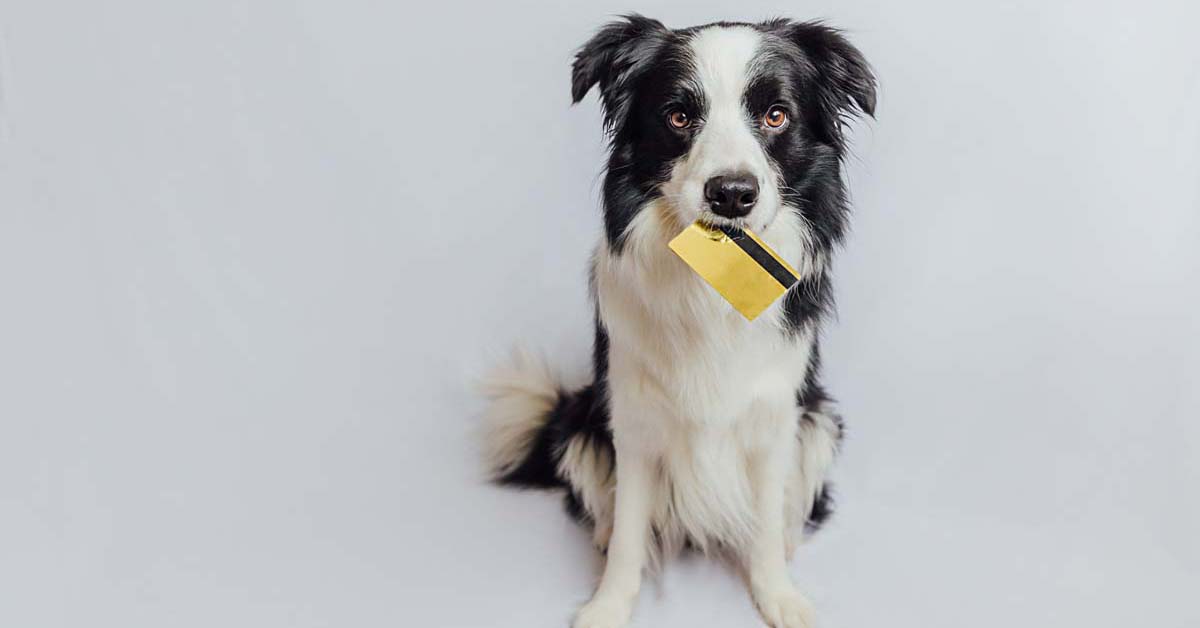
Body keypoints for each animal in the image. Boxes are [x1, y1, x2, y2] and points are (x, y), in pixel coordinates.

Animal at [482, 14, 878, 628]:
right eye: (679, 116)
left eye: (776, 115)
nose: (732, 194)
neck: (713, 285)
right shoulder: (633, 417)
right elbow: (629, 527)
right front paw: (608, 604)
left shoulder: (777, 415)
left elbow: (765, 520)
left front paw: (778, 596)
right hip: (580, 419)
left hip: (820, 420)